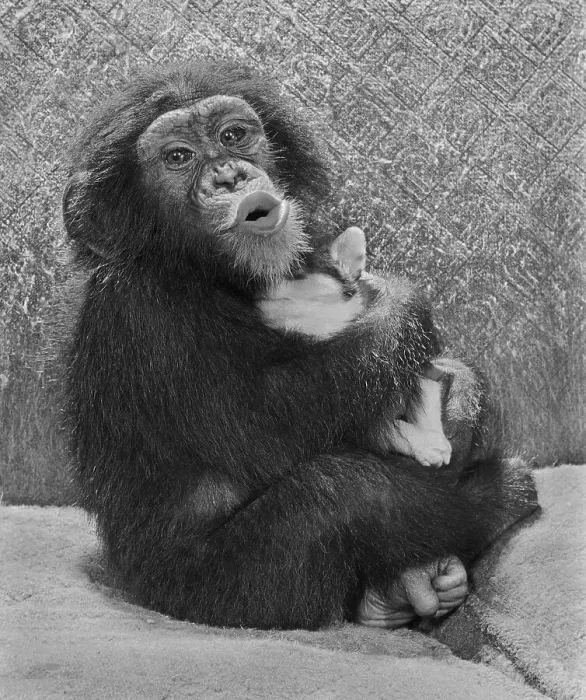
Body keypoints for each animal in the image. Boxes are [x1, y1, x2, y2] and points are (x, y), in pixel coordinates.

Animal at [62, 61, 538, 631]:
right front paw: (401, 302)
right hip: (226, 593)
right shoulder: (141, 313)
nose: (230, 175)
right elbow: (263, 421)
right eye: (178, 157)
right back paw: (491, 503)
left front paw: (460, 401)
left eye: (233, 135)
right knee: (340, 489)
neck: (203, 269)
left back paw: (412, 587)